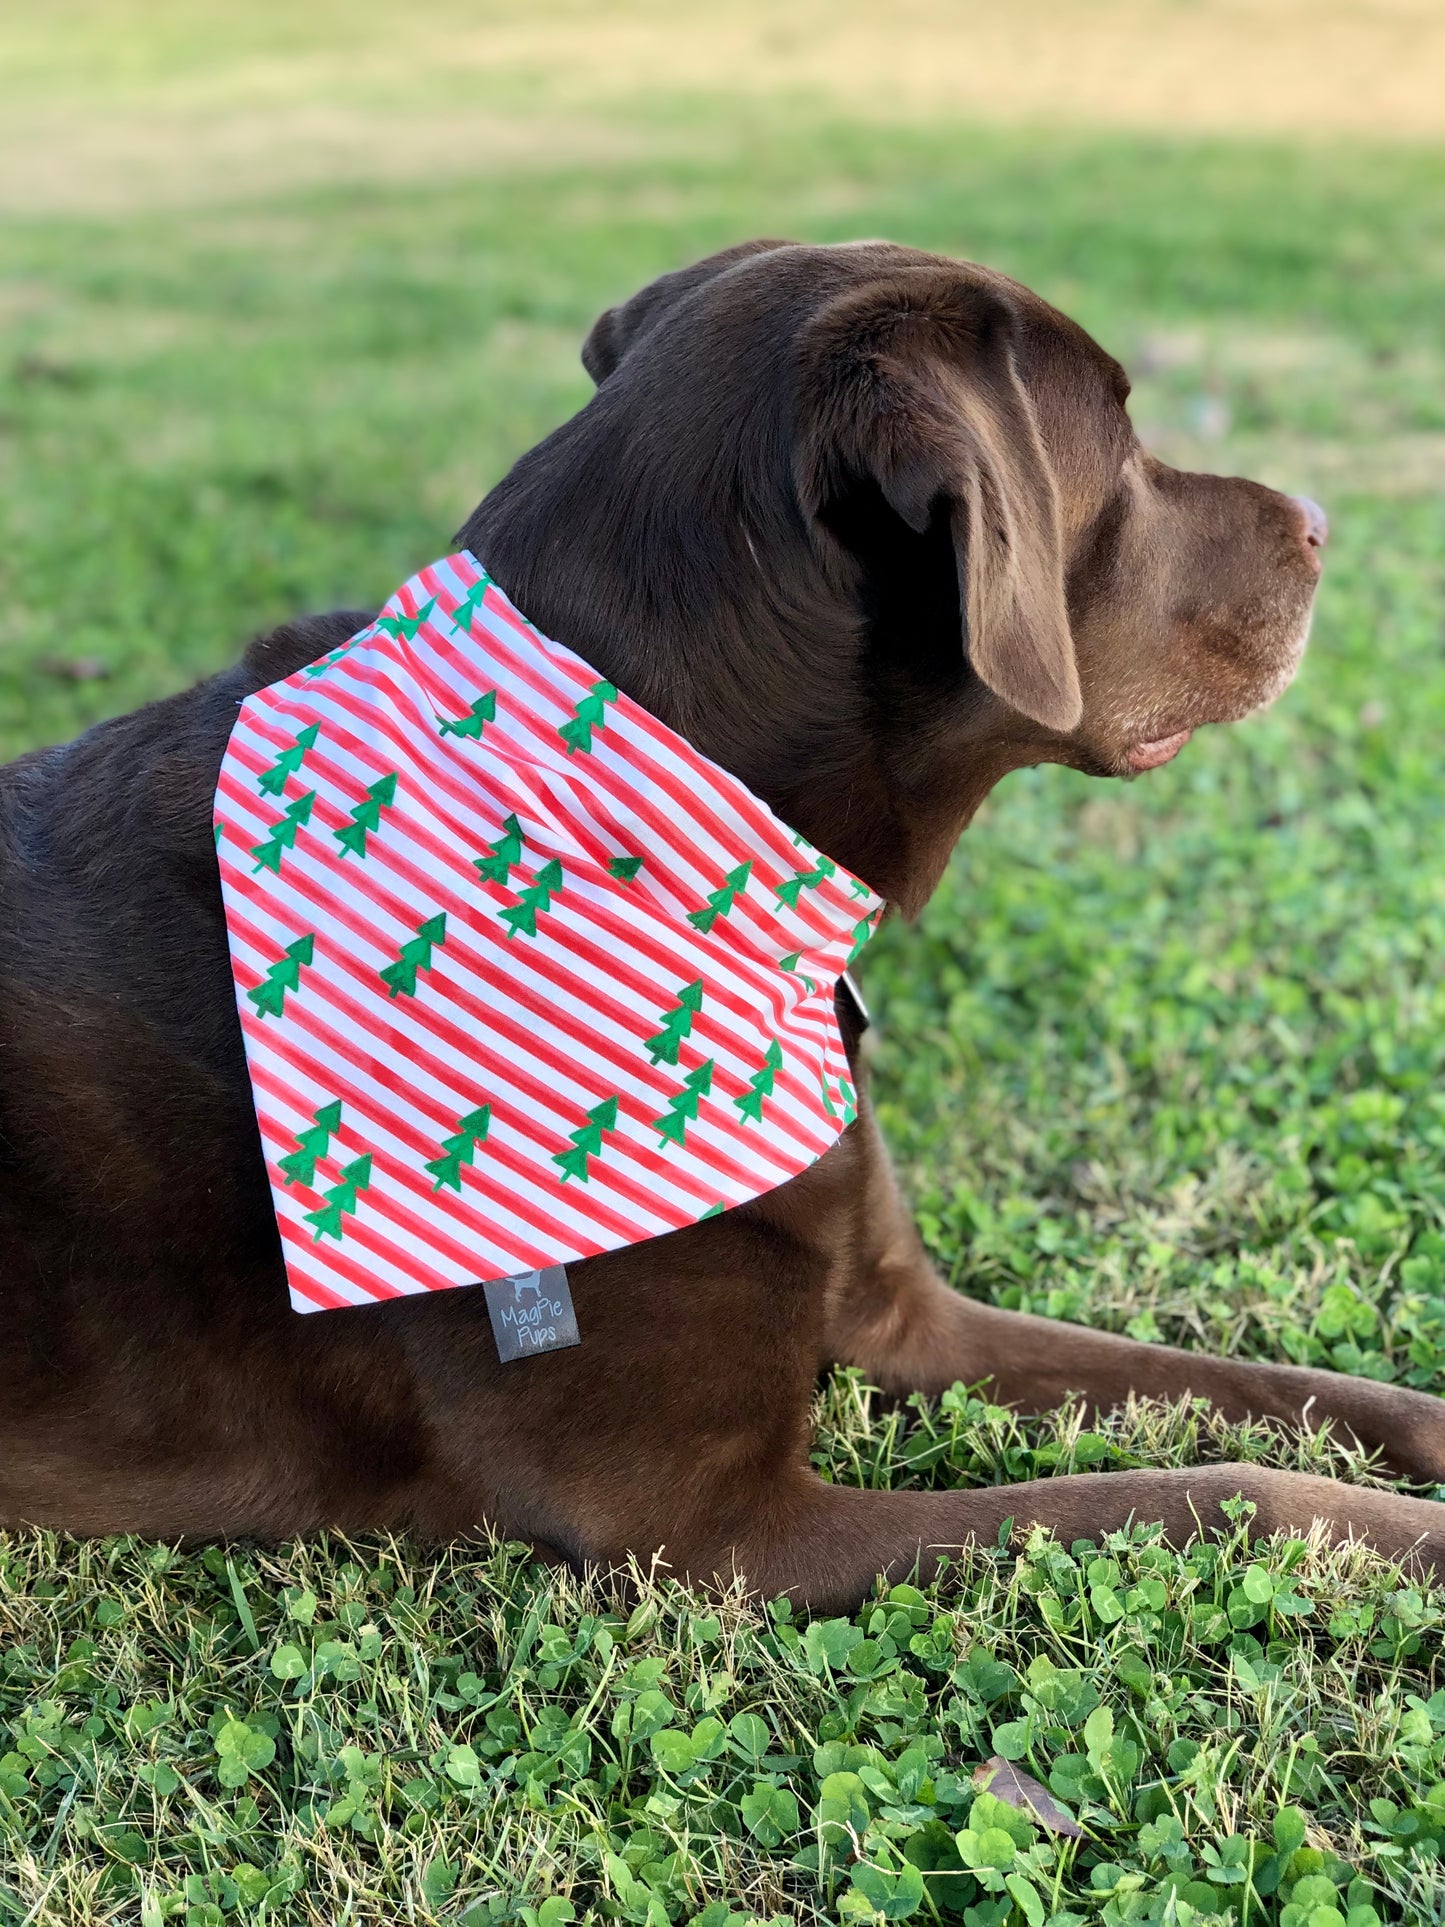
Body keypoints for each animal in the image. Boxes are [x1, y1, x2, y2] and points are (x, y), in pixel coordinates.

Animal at [0, 237, 1441, 1610]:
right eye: (1123, 445)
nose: (1320, 522)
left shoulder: (908, 1316)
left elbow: (1262, 1384)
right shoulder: (716, 1527)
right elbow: (1232, 1488)